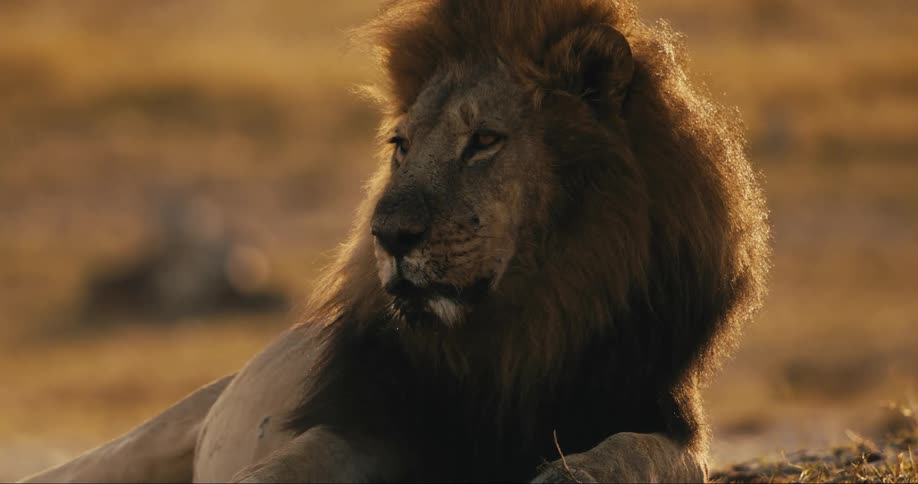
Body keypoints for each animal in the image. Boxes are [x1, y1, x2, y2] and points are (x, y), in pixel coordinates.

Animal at [22, 0, 769, 482]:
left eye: (484, 140)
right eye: (401, 146)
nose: (389, 235)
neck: (519, 333)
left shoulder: (658, 407)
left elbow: (643, 454)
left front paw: (568, 470)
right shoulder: (374, 420)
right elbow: (292, 461)